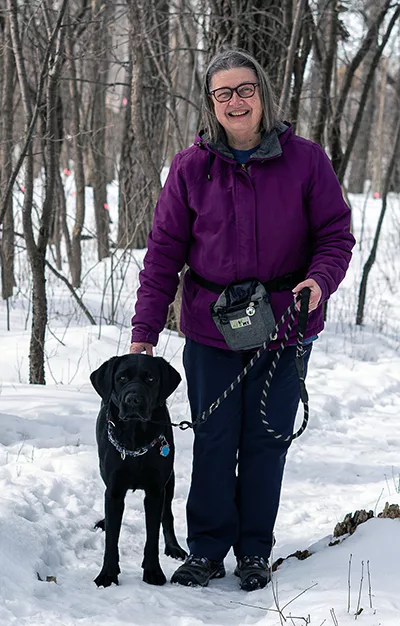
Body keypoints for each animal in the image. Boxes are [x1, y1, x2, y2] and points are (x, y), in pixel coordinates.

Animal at [90, 354, 187, 588]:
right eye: (121, 378)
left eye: (150, 379)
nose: (133, 400)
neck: (135, 437)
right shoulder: (114, 490)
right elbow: (111, 539)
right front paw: (107, 574)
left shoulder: (155, 491)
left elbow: (152, 536)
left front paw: (153, 572)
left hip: (169, 483)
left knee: (167, 515)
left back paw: (174, 547)